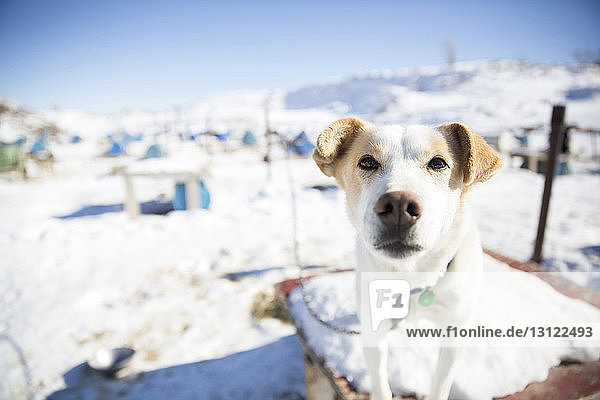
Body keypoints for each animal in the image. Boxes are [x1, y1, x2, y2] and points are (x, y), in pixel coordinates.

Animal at [312, 119, 504, 400]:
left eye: (438, 163)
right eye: (367, 162)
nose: (399, 206)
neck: (412, 276)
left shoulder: (454, 333)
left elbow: (440, 385)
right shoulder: (373, 331)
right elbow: (380, 383)